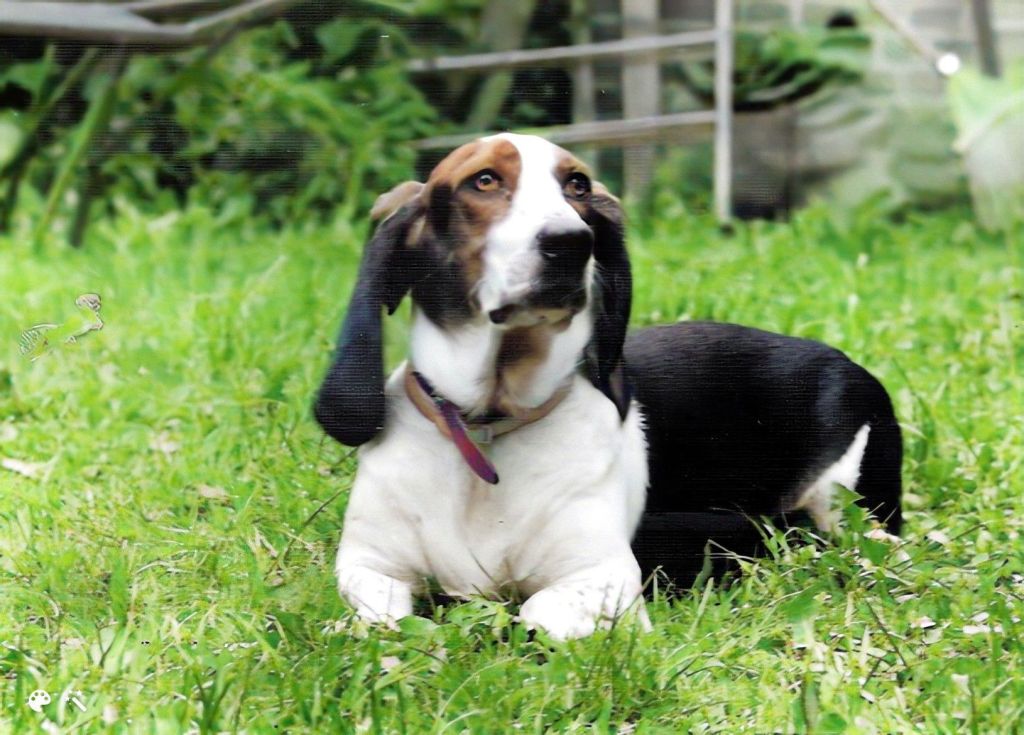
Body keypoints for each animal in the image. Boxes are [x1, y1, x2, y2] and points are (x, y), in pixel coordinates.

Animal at [314, 133, 902, 639]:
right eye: (483, 180)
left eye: (577, 185)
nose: (572, 243)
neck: (486, 426)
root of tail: (846, 361)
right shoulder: (370, 566)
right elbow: (379, 619)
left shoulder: (602, 578)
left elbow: (533, 612)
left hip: (850, 511)